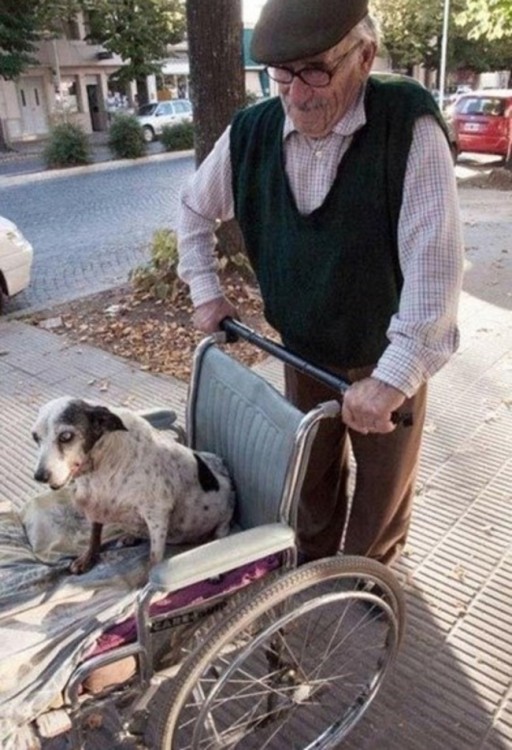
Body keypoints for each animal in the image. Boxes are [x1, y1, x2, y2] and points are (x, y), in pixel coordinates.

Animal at [33, 400, 237, 576]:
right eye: (35, 437)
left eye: (66, 436)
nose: (39, 476)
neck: (103, 463)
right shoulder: (97, 504)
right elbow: (94, 535)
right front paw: (88, 558)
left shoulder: (157, 514)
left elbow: (155, 558)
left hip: (223, 522)